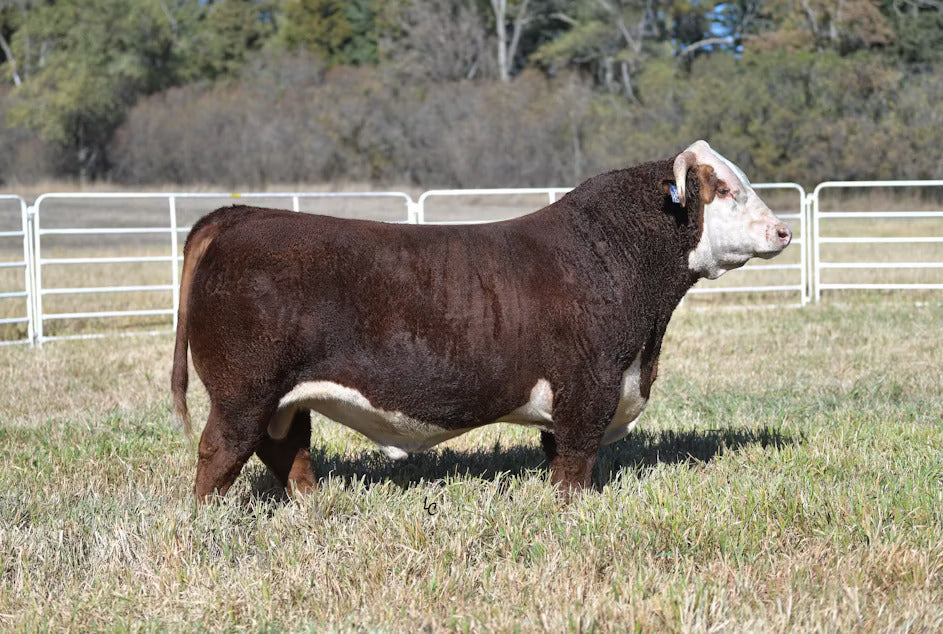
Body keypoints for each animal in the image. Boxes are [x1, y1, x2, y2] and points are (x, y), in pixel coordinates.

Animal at [171, 140, 792, 502]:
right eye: (725, 189)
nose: (783, 230)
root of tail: (239, 215)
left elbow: (557, 457)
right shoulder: (587, 389)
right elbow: (574, 467)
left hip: (283, 398)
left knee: (287, 451)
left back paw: (316, 508)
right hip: (243, 392)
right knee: (218, 452)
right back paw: (207, 522)